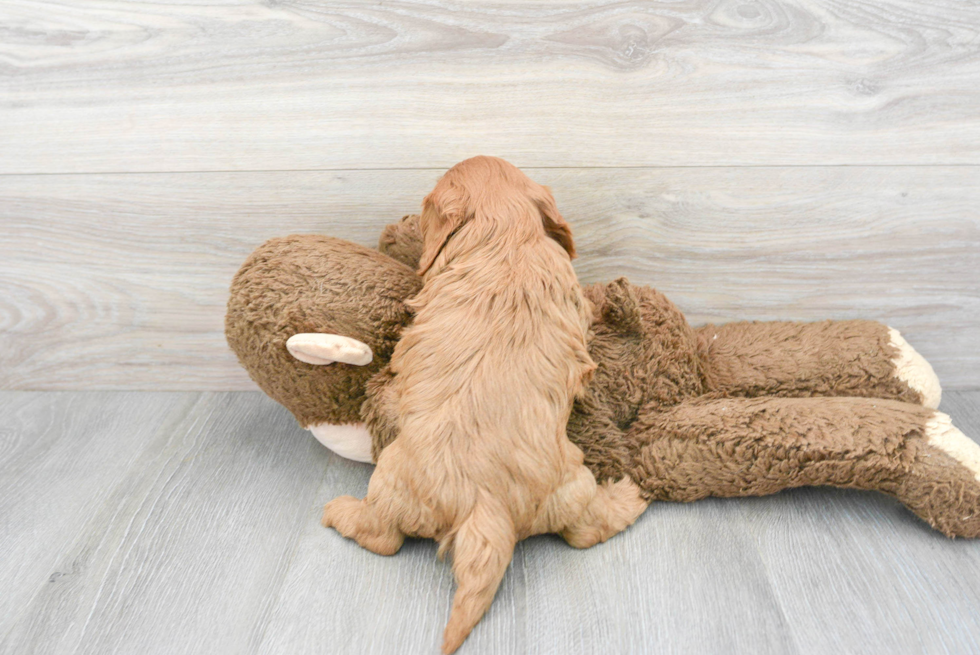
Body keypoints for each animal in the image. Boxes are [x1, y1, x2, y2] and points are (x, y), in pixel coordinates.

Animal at [324, 156, 652, 652]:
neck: (507, 238)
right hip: (568, 483)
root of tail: (484, 504)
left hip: (391, 483)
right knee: (581, 531)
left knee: (384, 537)